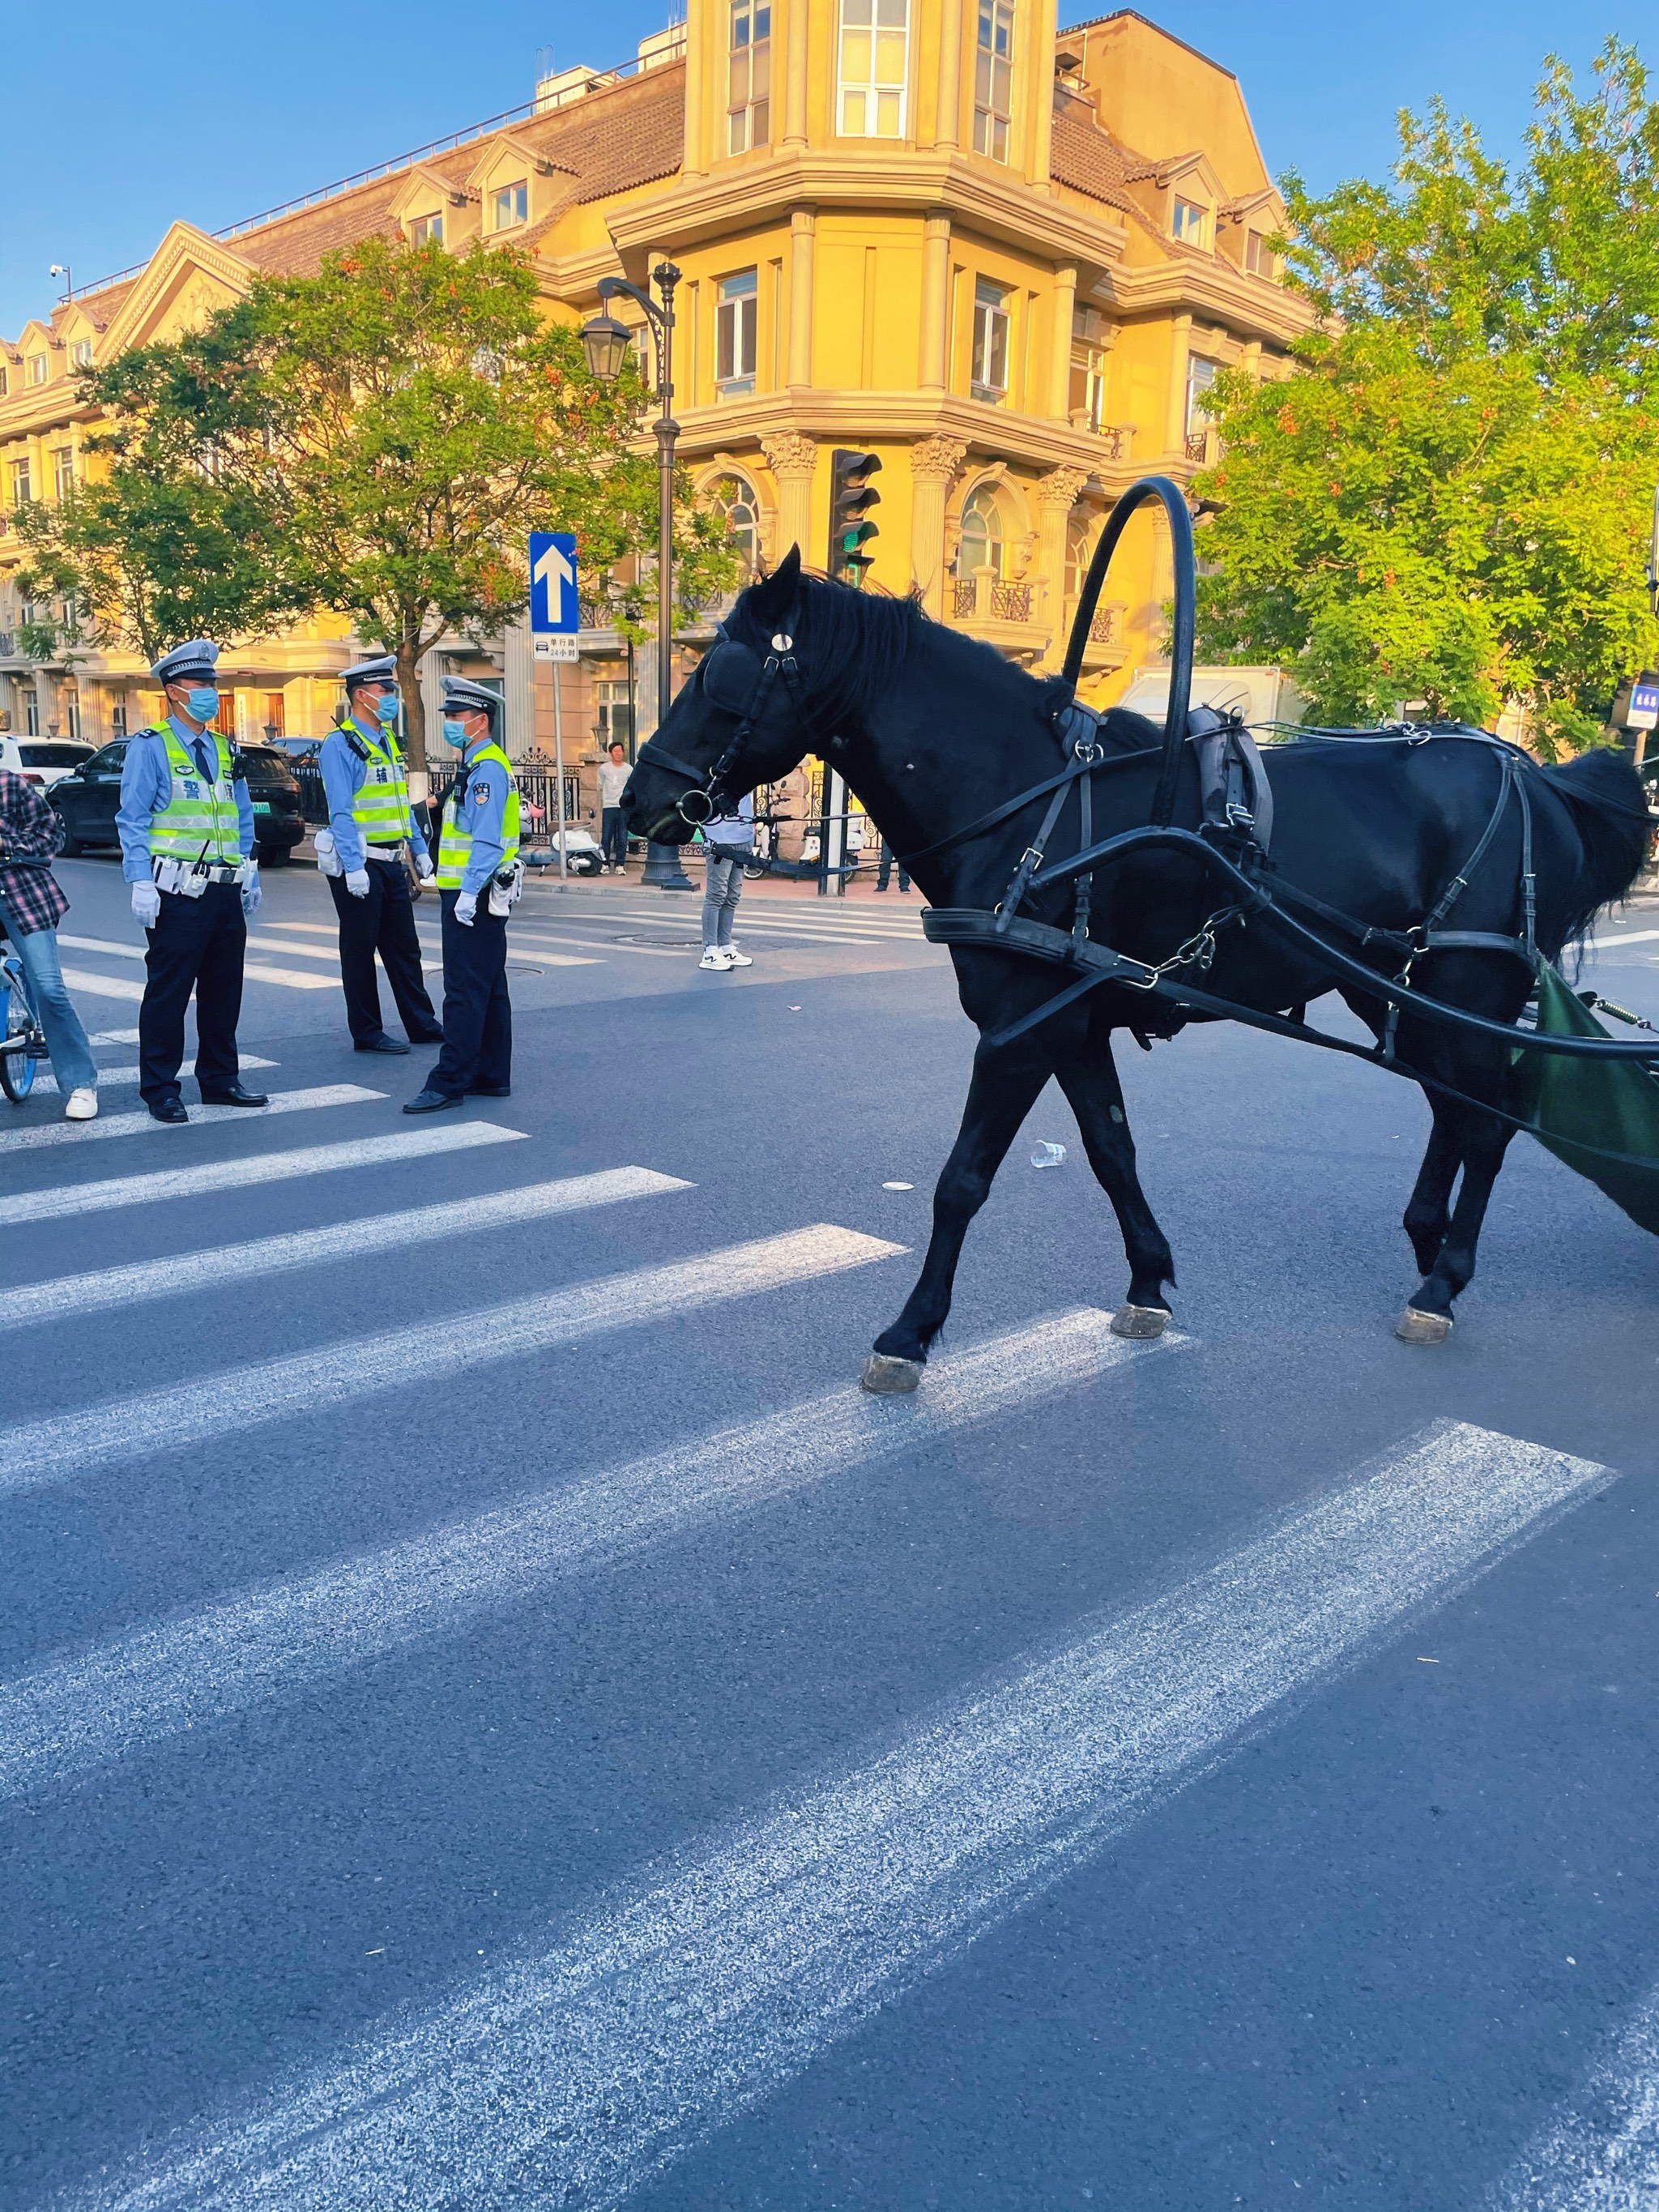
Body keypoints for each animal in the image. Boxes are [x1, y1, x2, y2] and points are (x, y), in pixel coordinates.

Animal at [628, 549, 1654, 1380]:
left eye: (716, 675)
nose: (638, 801)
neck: (1029, 802)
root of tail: (1537, 777)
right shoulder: (1074, 1024)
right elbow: (1110, 1151)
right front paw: (1148, 1283)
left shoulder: (1020, 1026)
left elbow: (962, 1180)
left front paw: (910, 1333)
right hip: (1392, 994)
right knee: (1453, 1112)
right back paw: (1424, 1246)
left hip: (1463, 988)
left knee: (1484, 1126)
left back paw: (1440, 1285)